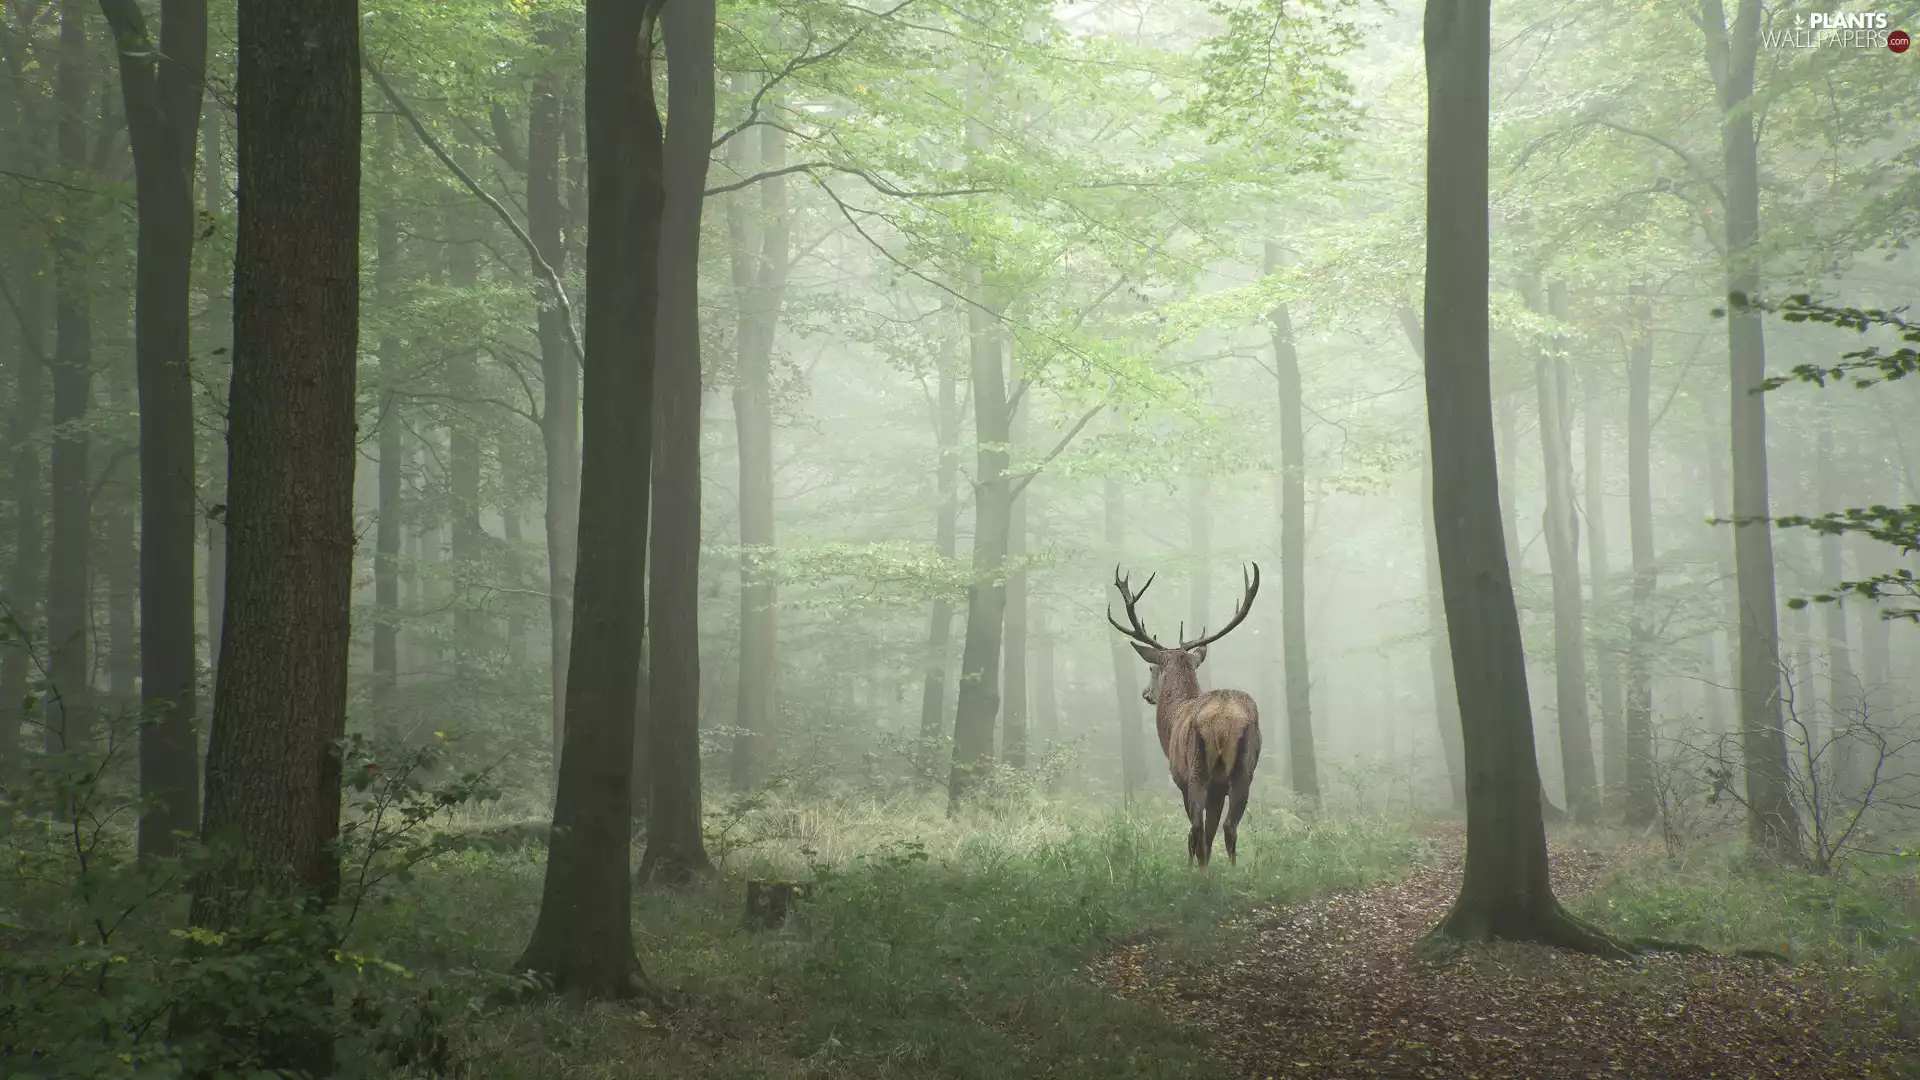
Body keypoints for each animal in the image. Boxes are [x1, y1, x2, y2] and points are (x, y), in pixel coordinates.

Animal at [1107, 563, 1263, 869]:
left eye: (1152, 668)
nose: (1146, 693)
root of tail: (1224, 722)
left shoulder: (1179, 776)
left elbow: (1198, 830)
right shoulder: (1219, 789)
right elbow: (1212, 831)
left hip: (1197, 767)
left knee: (1196, 828)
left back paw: (1196, 873)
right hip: (1245, 767)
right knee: (1229, 827)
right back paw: (1233, 872)